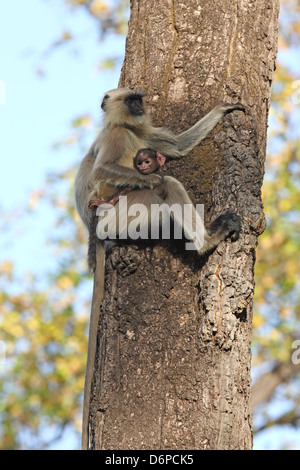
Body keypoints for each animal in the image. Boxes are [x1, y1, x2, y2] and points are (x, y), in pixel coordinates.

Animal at [74, 86, 245, 450]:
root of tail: (96, 229)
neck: (128, 127)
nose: (140, 105)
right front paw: (150, 174)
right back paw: (205, 240)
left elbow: (179, 145)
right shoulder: (116, 136)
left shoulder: (143, 133)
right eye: (131, 100)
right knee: (165, 186)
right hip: (124, 216)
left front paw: (224, 109)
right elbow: (104, 171)